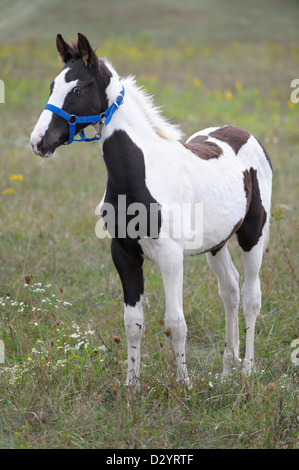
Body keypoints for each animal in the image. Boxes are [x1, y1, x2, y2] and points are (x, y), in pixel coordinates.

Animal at [31, 33, 274, 386]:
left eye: (77, 89)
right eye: (52, 86)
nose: (38, 142)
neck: (140, 173)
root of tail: (244, 133)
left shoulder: (171, 257)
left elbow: (176, 323)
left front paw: (183, 383)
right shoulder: (124, 254)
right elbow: (133, 321)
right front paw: (132, 385)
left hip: (252, 233)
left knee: (251, 296)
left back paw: (248, 369)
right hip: (216, 244)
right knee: (229, 290)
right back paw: (227, 369)